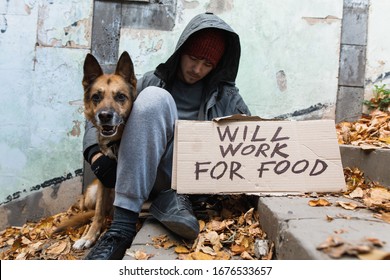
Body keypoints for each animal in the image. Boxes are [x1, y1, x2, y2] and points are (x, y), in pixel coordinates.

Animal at [54, 50, 137, 249]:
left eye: (120, 96)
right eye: (96, 97)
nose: (105, 116)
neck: (116, 142)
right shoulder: (104, 181)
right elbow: (98, 213)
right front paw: (90, 236)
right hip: (93, 191)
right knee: (91, 209)